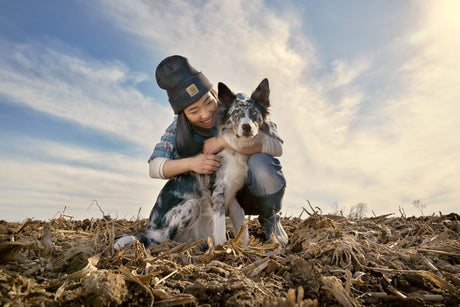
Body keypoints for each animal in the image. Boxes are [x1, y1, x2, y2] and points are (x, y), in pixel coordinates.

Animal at [114, 79, 274, 250]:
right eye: (236, 114)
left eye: (254, 114)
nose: (246, 127)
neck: (235, 148)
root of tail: (150, 231)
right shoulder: (218, 194)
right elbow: (220, 229)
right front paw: (222, 248)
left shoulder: (233, 196)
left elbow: (242, 225)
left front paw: (245, 247)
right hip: (192, 205)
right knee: (163, 238)